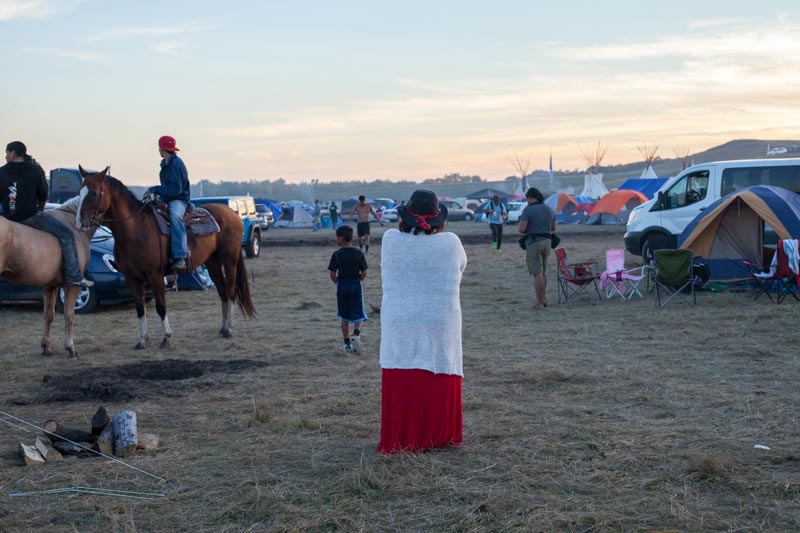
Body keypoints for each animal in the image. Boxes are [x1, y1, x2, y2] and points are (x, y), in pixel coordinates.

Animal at [0, 197, 94, 356]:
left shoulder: (50, 286)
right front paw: (70, 347)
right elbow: (69, 315)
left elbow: (48, 315)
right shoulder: (71, 286)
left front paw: (46, 347)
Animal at [75, 167, 256, 350]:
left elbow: (161, 306)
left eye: (94, 193)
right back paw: (223, 327)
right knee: (222, 292)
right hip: (212, 263)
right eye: (79, 192)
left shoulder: (155, 275)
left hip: (229, 260)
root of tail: (233, 214)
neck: (135, 229)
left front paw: (166, 337)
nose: (80, 222)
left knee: (231, 291)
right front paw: (142, 340)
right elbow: (140, 308)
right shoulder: (131, 278)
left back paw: (229, 329)